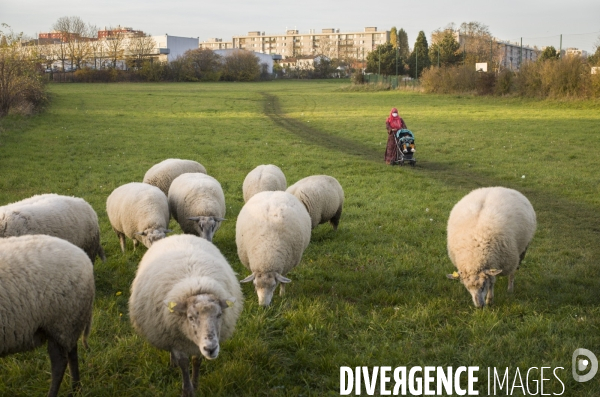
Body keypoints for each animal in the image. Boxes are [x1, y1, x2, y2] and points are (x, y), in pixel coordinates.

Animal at [0, 234, 94, 396]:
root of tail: (84, 256)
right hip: (68, 323)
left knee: (59, 363)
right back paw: (76, 388)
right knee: (72, 353)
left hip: (62, 322)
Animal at [129, 234, 244, 396]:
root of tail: (177, 235)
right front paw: (187, 389)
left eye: (220, 315)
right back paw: (173, 362)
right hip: (167, 332)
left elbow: (197, 361)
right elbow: (184, 363)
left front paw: (195, 384)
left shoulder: (197, 344)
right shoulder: (176, 338)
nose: (211, 349)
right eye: (190, 317)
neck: (195, 284)